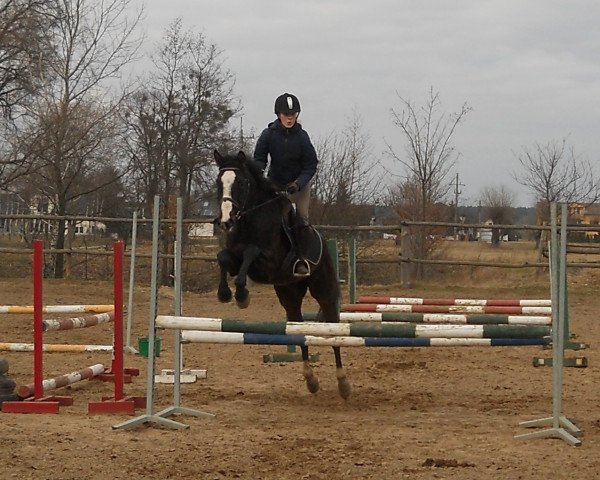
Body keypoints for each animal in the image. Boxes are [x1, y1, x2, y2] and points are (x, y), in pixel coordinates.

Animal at [213, 152, 352, 400]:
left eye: (242, 183)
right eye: (219, 183)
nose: (226, 221)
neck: (250, 218)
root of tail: (324, 242)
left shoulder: (270, 262)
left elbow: (251, 251)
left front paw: (242, 295)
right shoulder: (235, 257)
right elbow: (224, 258)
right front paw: (226, 293)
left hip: (324, 291)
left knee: (334, 331)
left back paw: (343, 383)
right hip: (289, 295)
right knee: (299, 330)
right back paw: (311, 380)